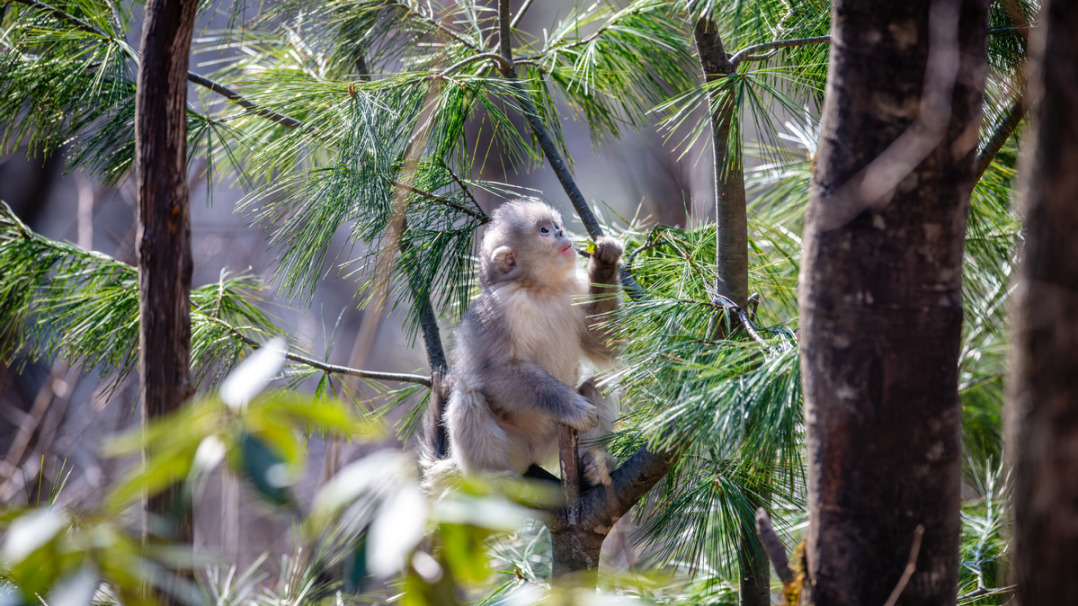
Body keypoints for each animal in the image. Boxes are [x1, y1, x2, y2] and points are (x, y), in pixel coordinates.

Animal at [442, 199, 623, 488]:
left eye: (556, 225)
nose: (561, 233)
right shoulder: (496, 309)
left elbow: (605, 345)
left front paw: (605, 262)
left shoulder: (575, 289)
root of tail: (534, 456)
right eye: (544, 231)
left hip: (553, 444)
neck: (539, 288)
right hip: (515, 448)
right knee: (468, 396)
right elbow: (493, 372)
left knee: (600, 383)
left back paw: (593, 464)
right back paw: (492, 479)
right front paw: (573, 407)